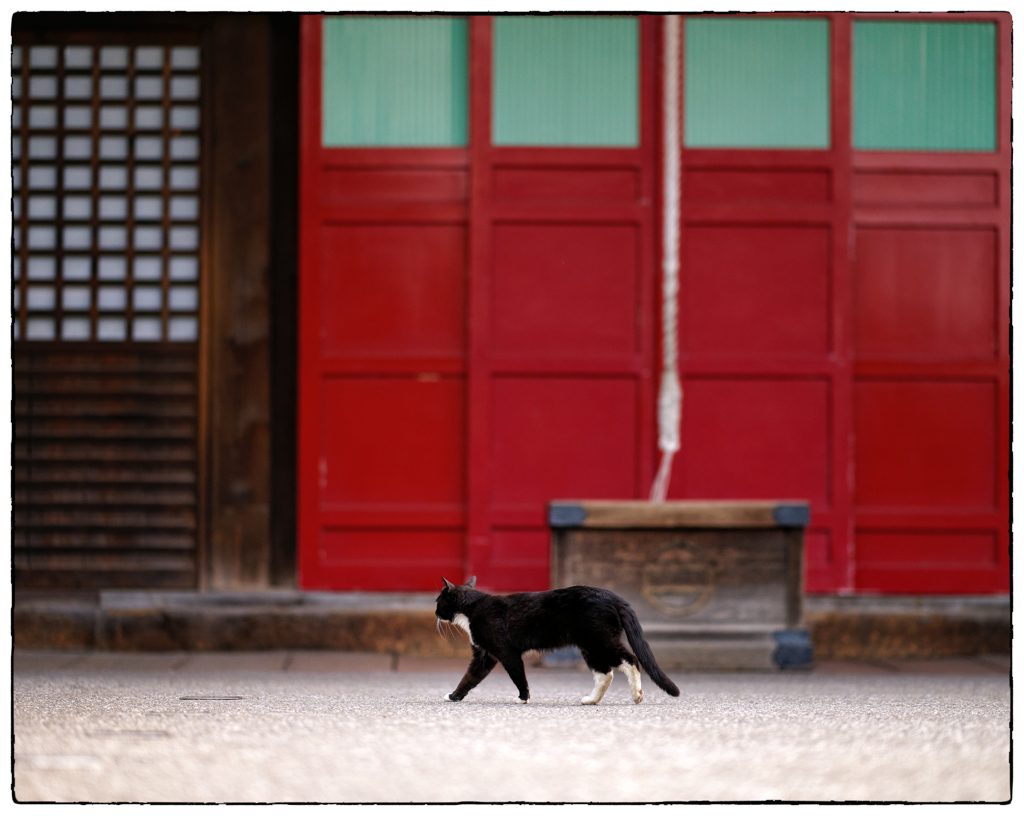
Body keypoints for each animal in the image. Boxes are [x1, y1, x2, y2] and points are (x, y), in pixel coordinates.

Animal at [434, 577, 679, 704]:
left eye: (438, 601)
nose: (435, 612)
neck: (472, 609)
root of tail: (615, 597)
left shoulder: (506, 652)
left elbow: (517, 675)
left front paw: (523, 698)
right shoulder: (484, 655)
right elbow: (469, 677)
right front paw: (454, 696)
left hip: (600, 640)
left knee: (630, 659)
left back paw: (637, 695)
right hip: (589, 645)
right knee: (605, 673)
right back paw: (591, 700)